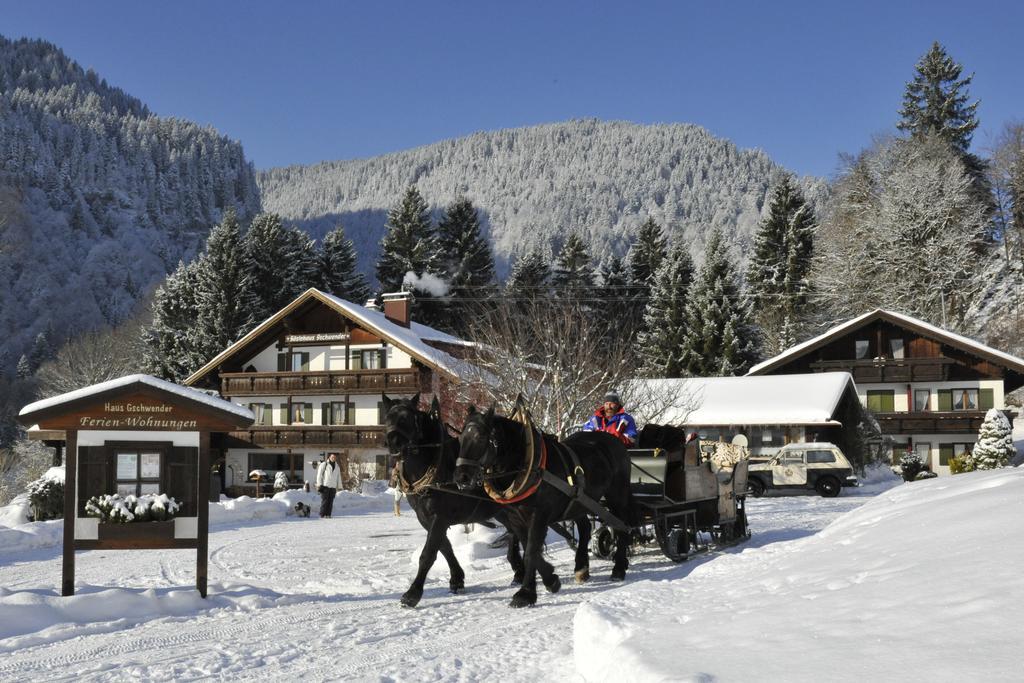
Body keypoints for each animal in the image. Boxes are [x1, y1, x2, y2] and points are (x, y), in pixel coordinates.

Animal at [385, 395, 528, 610]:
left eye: (408, 418)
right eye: (388, 417)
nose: (393, 442)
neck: (434, 466)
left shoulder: (440, 516)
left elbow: (428, 553)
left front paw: (412, 594)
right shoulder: (426, 517)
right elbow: (444, 547)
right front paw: (457, 579)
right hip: (502, 510)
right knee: (514, 531)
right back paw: (518, 571)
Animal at [454, 403, 630, 606]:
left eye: (481, 437)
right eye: (461, 438)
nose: (461, 477)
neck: (525, 465)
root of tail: (613, 440)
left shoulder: (539, 514)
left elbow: (531, 551)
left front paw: (526, 593)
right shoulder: (515, 517)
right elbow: (530, 548)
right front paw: (550, 580)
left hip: (618, 495)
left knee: (622, 526)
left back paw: (619, 568)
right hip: (579, 501)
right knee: (586, 527)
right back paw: (581, 568)